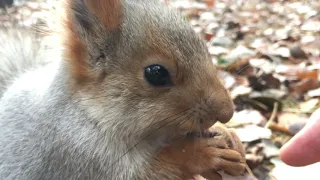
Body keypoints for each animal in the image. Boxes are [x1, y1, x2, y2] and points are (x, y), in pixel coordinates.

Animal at [0, 0, 246, 179]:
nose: (227, 113)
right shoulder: (75, 155)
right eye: (156, 73)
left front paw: (227, 133)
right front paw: (200, 154)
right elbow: (149, 172)